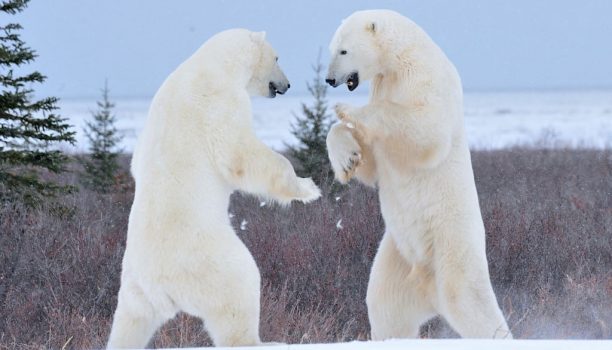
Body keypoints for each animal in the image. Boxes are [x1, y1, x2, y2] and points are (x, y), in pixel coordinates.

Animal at [108, 28, 322, 348]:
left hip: (135, 287)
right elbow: (240, 153)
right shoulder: (219, 101)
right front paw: (308, 188)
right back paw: (262, 341)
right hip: (211, 261)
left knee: (130, 322)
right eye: (277, 57)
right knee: (240, 289)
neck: (213, 65)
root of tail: (163, 286)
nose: (286, 84)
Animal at [326, 10, 512, 340]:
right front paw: (347, 158)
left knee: (468, 300)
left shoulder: (424, 75)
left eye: (343, 51)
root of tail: (428, 286)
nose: (330, 79)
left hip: (451, 246)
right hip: (398, 256)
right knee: (385, 307)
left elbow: (425, 127)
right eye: (332, 49)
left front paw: (346, 109)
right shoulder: (384, 81)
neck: (400, 56)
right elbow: (371, 162)